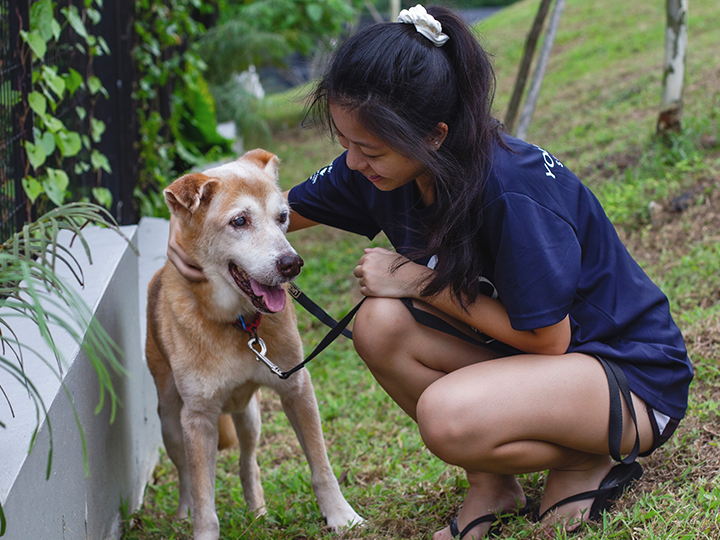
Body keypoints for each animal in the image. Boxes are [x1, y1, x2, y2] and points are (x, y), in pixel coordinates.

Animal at [146, 149, 362, 540]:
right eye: (240, 221)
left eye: (283, 217)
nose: (292, 264)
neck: (239, 323)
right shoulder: (197, 419)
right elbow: (204, 500)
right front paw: (200, 528)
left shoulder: (296, 387)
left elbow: (321, 466)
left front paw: (341, 516)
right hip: (170, 422)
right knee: (185, 476)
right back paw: (183, 514)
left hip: (249, 416)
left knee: (248, 463)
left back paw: (258, 512)